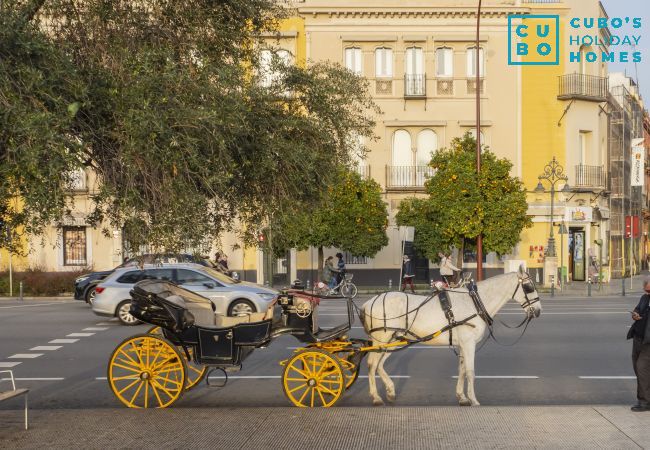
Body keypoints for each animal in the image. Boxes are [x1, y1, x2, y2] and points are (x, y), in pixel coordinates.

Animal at [356, 266, 540, 406]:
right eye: (529, 287)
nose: (538, 311)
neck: (475, 302)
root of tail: (368, 302)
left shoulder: (462, 345)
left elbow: (462, 370)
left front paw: (462, 397)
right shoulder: (468, 344)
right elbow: (470, 371)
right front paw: (473, 400)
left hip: (392, 340)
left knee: (379, 364)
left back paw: (390, 391)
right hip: (382, 339)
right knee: (372, 363)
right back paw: (376, 397)